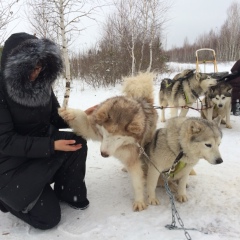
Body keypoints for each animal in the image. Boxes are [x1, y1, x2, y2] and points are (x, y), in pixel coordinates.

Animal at [58, 72, 158, 211]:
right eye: (106, 133)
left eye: (119, 137)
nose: (104, 154)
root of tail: (143, 98)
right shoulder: (93, 129)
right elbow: (82, 119)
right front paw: (68, 113)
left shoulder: (133, 157)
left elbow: (137, 181)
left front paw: (139, 200)